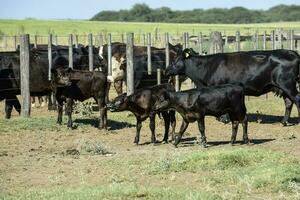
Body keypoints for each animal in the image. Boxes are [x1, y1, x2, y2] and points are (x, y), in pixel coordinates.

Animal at [165, 48, 300, 125]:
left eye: (174, 61)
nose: (166, 71)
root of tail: (291, 52)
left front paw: (225, 120)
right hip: (283, 87)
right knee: (289, 102)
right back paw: (284, 122)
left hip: (287, 84)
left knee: (297, 99)